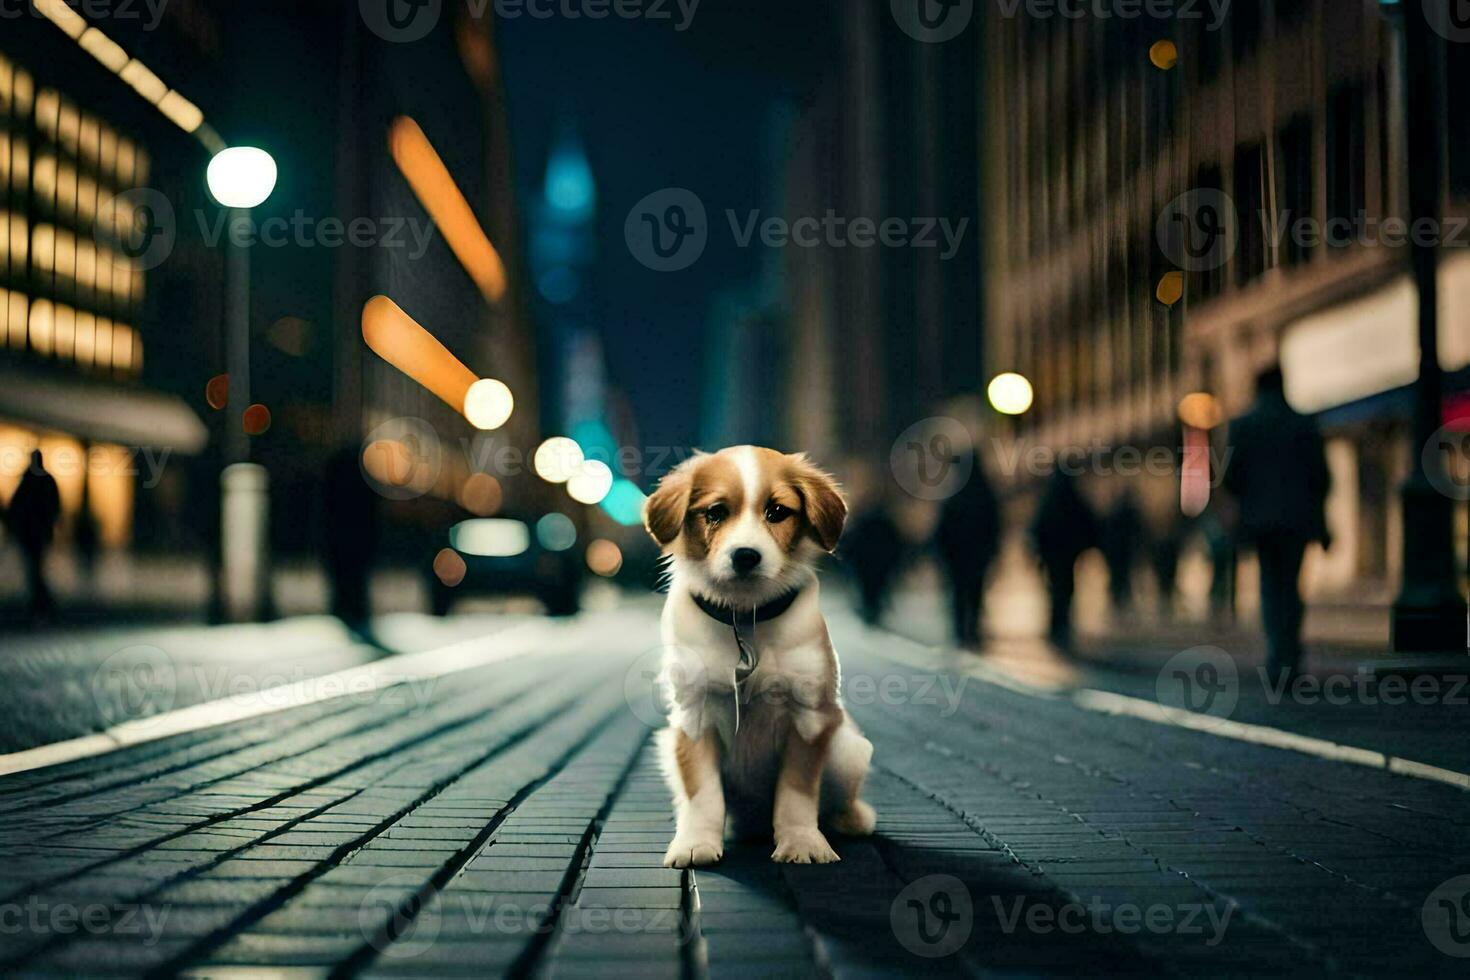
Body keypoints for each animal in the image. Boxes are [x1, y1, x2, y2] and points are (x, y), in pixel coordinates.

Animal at [643, 443, 870, 863]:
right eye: (715, 512)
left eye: (777, 511)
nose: (745, 556)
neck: (744, 616)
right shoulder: (692, 715)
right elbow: (702, 793)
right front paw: (696, 841)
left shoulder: (809, 717)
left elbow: (797, 793)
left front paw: (802, 841)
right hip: (666, 745)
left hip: (848, 750)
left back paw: (852, 819)